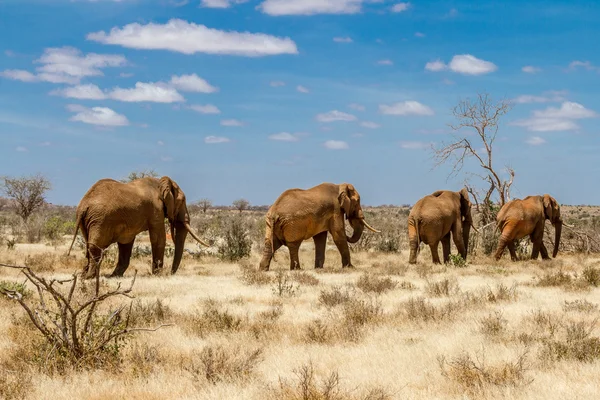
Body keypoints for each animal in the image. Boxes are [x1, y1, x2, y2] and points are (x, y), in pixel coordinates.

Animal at [67, 177, 209, 280]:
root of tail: (83, 205)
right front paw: (158, 275)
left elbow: (126, 243)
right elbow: (158, 239)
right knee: (95, 246)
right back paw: (89, 277)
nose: (170, 273)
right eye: (182, 201)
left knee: (88, 246)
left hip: (89, 221)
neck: (160, 183)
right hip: (99, 220)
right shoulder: (156, 210)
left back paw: (83, 276)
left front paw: (115, 276)